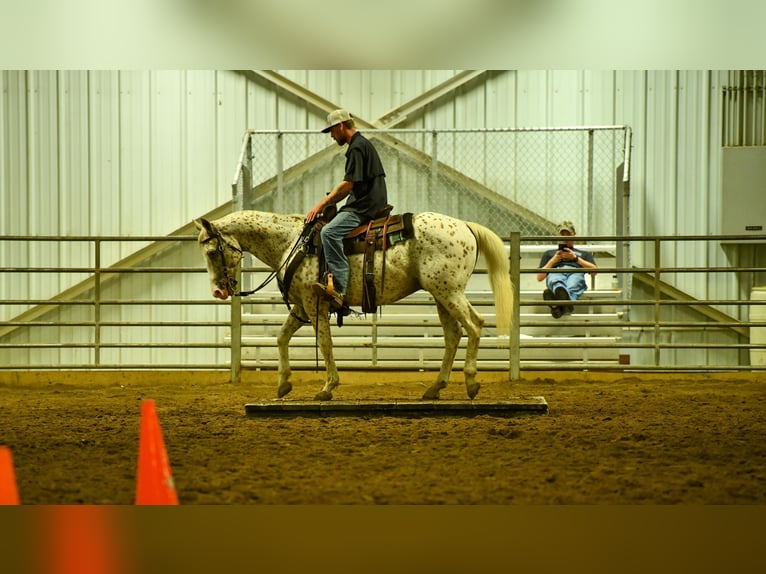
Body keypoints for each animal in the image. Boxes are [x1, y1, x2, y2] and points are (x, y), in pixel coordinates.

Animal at [195, 209, 512, 402]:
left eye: (211, 252)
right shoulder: (301, 306)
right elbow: (281, 338)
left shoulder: (315, 304)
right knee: (453, 335)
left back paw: (471, 382)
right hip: (441, 295)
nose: (218, 291)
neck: (292, 243)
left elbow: (324, 343)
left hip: (450, 292)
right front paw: (283, 383)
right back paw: (435, 388)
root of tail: (466, 227)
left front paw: (327, 387)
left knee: (475, 325)